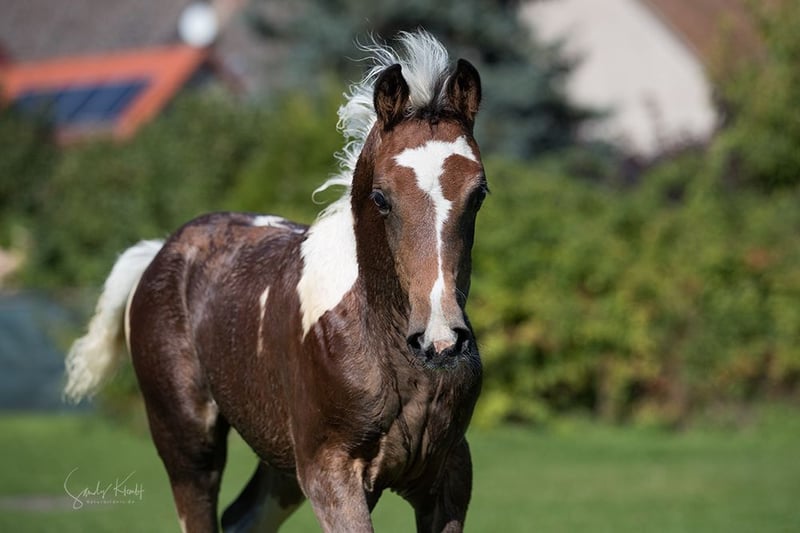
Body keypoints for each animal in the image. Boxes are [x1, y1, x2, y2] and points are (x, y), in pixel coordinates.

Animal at [64, 31, 487, 533]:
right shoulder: (331, 472)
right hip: (189, 444)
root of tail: (160, 253)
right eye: (382, 198)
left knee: (242, 517)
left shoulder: (449, 477)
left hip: (281, 463)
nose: (441, 341)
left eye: (479, 193)